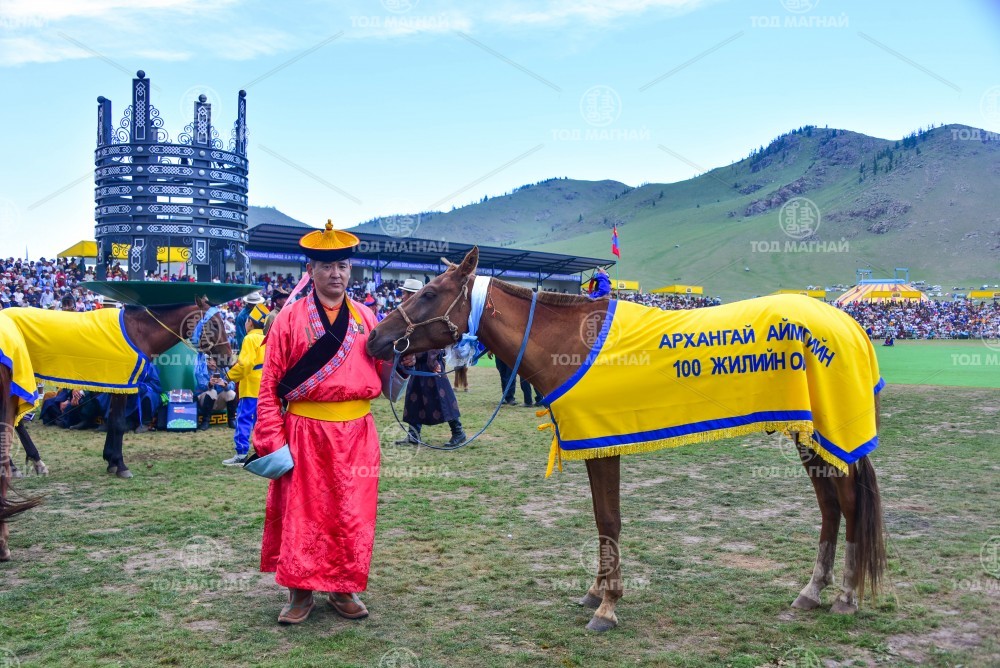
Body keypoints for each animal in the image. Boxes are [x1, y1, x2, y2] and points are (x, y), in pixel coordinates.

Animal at [367, 247, 887, 632]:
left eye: (430, 293)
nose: (375, 339)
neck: (572, 343)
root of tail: (850, 324)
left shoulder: (604, 445)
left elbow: (610, 520)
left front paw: (608, 605)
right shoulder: (597, 445)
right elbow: (602, 520)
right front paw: (596, 591)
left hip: (828, 438)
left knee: (848, 505)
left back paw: (845, 596)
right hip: (810, 438)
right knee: (831, 509)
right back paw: (811, 592)